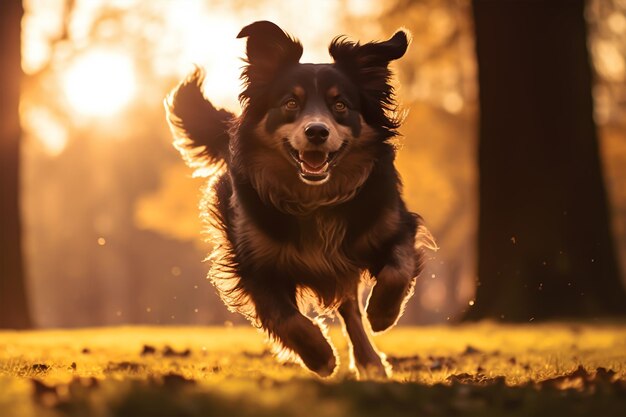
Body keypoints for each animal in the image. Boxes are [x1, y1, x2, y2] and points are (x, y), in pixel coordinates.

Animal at [165, 20, 434, 376]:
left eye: (340, 105)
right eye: (291, 103)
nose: (317, 131)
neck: (315, 200)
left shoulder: (392, 225)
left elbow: (397, 269)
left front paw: (382, 313)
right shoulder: (253, 262)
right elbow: (285, 317)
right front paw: (319, 355)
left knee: (350, 308)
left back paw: (369, 360)